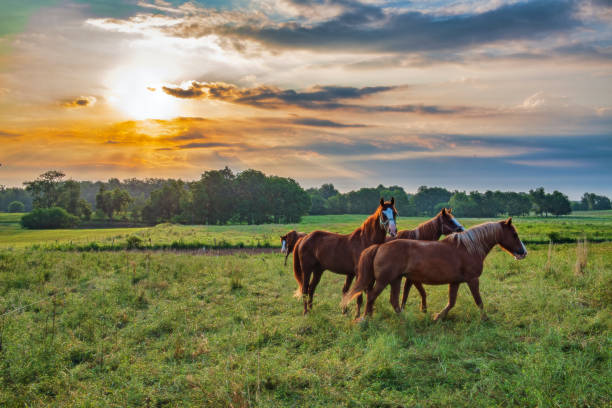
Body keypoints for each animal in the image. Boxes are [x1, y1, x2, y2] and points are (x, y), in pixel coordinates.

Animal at [342, 218, 528, 320]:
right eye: (514, 234)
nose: (523, 252)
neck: (468, 248)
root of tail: (379, 246)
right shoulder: (472, 280)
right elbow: (479, 301)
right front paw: (485, 319)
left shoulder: (455, 282)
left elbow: (451, 302)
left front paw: (438, 317)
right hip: (384, 280)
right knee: (372, 296)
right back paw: (365, 318)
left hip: (396, 279)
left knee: (393, 300)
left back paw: (404, 318)